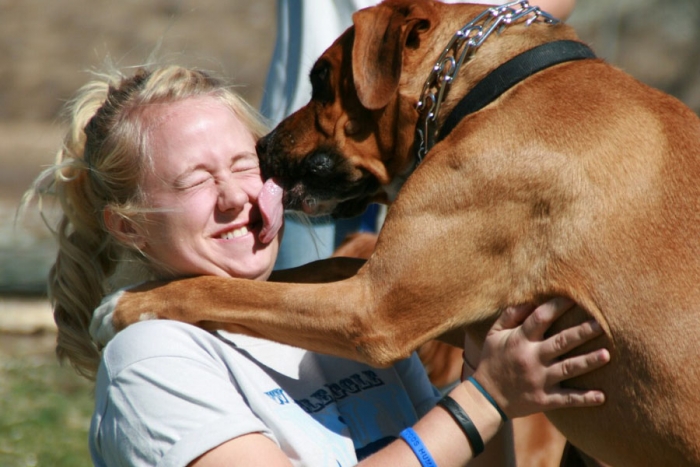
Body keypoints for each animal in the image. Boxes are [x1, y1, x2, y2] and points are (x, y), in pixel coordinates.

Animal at [112, 1, 700, 466]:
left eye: (321, 78)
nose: (261, 148)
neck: (493, 87)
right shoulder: (416, 299)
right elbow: (308, 270)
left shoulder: (372, 312)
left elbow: (226, 289)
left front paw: (136, 300)